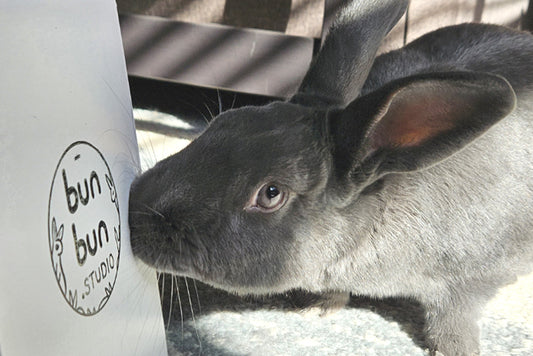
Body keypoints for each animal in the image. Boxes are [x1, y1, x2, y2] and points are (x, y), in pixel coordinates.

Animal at [129, 1, 532, 354]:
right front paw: (320, 307)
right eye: (219, 124)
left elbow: (453, 318)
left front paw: (454, 350)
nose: (135, 212)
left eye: (271, 193)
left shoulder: (472, 281)